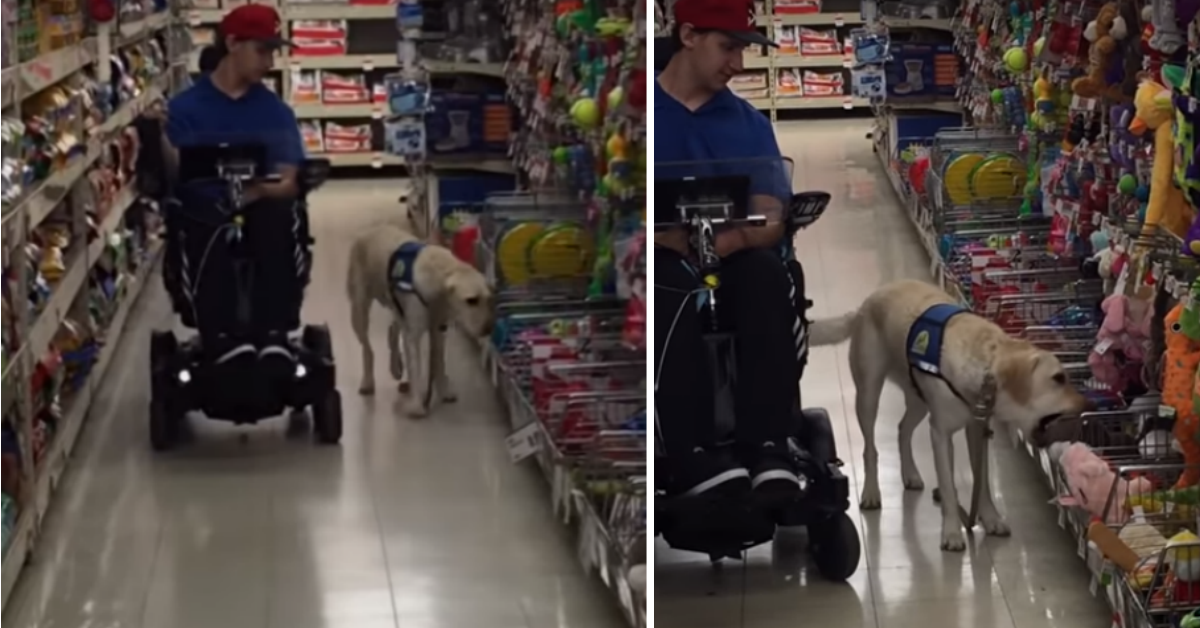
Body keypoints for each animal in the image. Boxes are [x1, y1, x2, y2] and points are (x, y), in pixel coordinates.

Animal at [345, 222, 494, 417]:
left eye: (489, 299)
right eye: (471, 300)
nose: (488, 329)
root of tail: (368, 232)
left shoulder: (438, 331)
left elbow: (439, 364)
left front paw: (444, 391)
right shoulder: (414, 334)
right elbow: (416, 368)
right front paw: (416, 404)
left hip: (397, 309)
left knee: (394, 331)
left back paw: (396, 366)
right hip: (359, 310)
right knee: (368, 349)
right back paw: (368, 381)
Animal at [811, 279, 1084, 549]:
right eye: (1058, 378)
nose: (1087, 404)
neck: (984, 369)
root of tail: (864, 304)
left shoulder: (977, 431)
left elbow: (982, 483)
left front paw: (991, 518)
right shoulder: (940, 434)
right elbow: (949, 487)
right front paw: (952, 531)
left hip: (918, 399)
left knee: (903, 430)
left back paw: (909, 473)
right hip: (868, 393)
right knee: (870, 448)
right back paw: (870, 492)